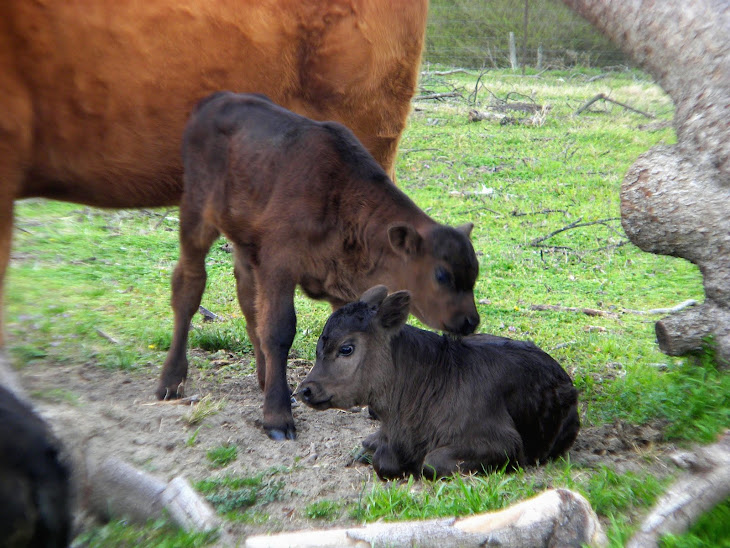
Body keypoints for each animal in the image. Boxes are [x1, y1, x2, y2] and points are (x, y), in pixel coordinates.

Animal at [158, 92, 480, 441]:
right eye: (441, 275)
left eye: (474, 273)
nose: (470, 321)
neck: (338, 197)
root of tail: (217, 99)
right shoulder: (278, 265)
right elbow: (279, 330)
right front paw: (277, 417)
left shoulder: (341, 286)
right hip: (195, 215)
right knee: (189, 286)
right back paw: (171, 381)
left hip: (245, 243)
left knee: (248, 298)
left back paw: (263, 377)